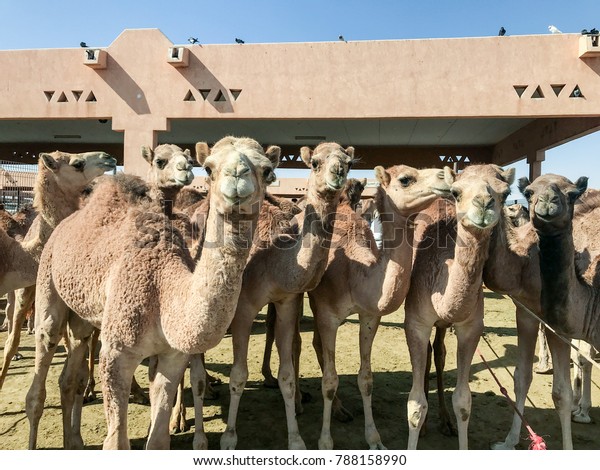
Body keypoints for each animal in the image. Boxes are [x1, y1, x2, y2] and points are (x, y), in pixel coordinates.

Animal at [22, 134, 276, 450]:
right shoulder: (116, 353)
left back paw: (74, 443)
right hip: (48, 283)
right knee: (42, 364)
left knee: (70, 376)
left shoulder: (173, 358)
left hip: (83, 318)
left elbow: (157, 440)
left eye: (267, 170)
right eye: (208, 167)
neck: (164, 293)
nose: (238, 176)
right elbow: (116, 443)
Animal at [220, 141, 354, 450]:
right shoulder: (243, 306)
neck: (275, 258)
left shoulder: (287, 300)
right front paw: (229, 439)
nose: (338, 172)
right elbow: (238, 375)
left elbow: (288, 375)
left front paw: (296, 438)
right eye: (315, 162)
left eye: (349, 162)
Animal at [308, 163, 452, 450]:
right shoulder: (327, 314)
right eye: (405, 179)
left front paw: (375, 439)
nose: (446, 175)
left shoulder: (369, 316)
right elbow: (329, 381)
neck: (354, 271)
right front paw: (325, 442)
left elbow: (366, 379)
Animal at [404, 163, 516, 450]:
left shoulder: (471, 326)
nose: (484, 203)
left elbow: (463, 402)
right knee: (431, 353)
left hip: (445, 325)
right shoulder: (415, 323)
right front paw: (419, 425)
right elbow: (415, 404)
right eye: (456, 192)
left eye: (506, 192)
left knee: (439, 353)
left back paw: (444, 420)